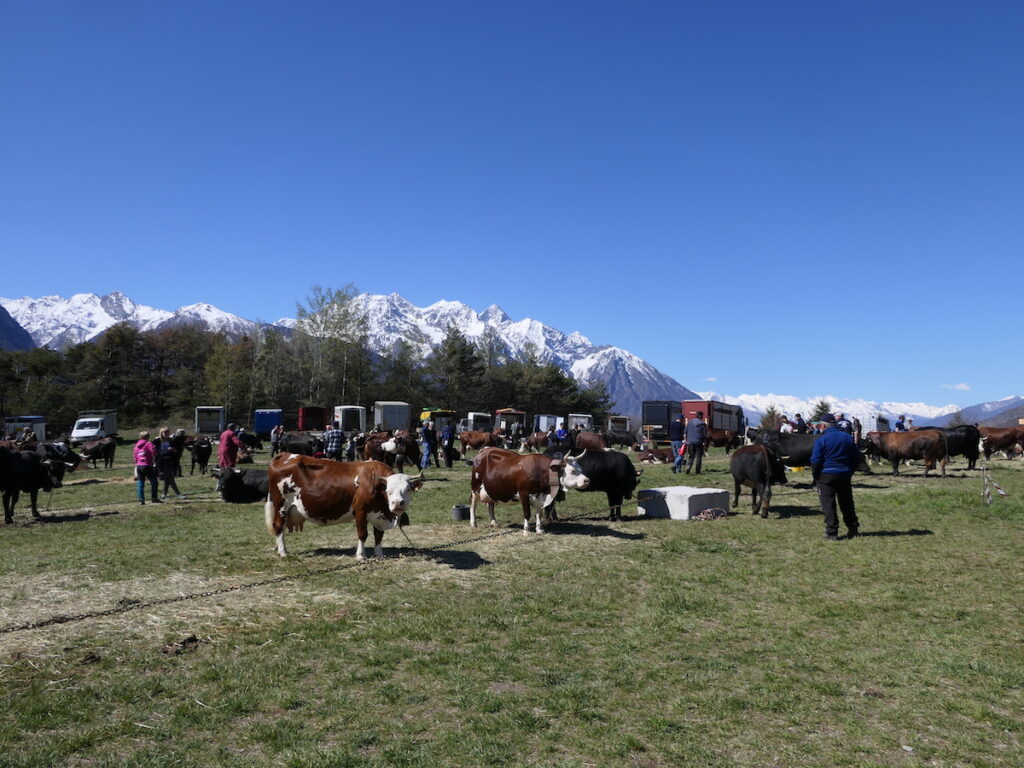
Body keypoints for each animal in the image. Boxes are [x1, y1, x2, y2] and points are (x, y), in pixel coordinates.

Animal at [268, 456, 423, 561]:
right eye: (388, 490)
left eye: (408, 489)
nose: (397, 503)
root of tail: (284, 455)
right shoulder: (360, 511)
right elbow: (363, 534)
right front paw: (360, 555)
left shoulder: (378, 515)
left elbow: (378, 535)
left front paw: (379, 554)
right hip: (281, 505)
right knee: (279, 526)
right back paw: (283, 552)